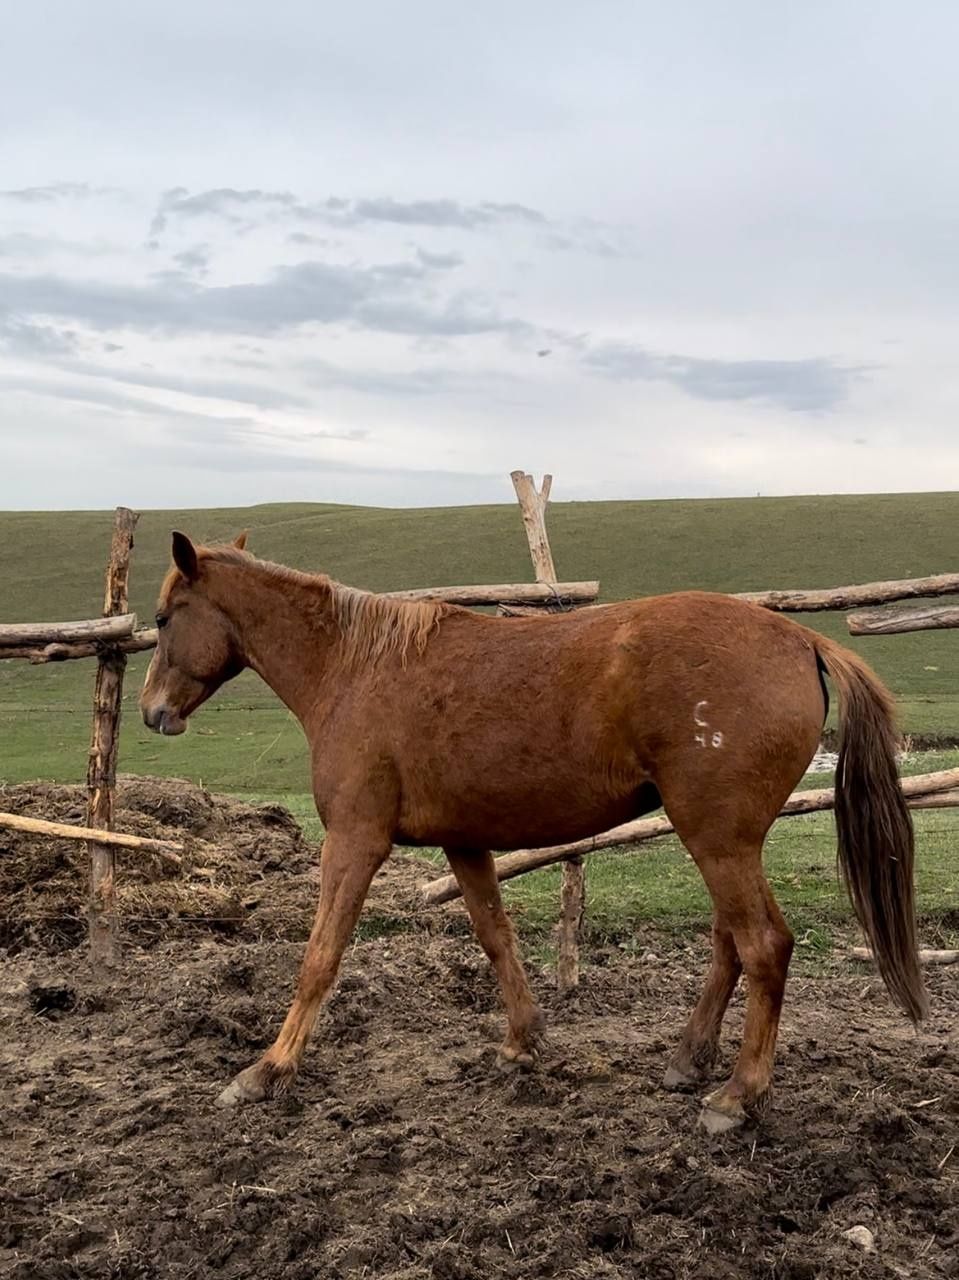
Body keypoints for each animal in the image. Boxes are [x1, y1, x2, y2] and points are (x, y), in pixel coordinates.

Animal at [138, 529, 921, 1131]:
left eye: (165, 618)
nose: (152, 713)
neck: (355, 669)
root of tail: (801, 636)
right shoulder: (464, 841)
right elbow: (495, 936)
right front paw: (523, 1042)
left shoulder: (355, 841)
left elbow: (320, 957)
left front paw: (268, 1069)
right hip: (720, 841)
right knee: (731, 943)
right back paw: (687, 1060)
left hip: (718, 839)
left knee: (762, 946)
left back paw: (737, 1093)